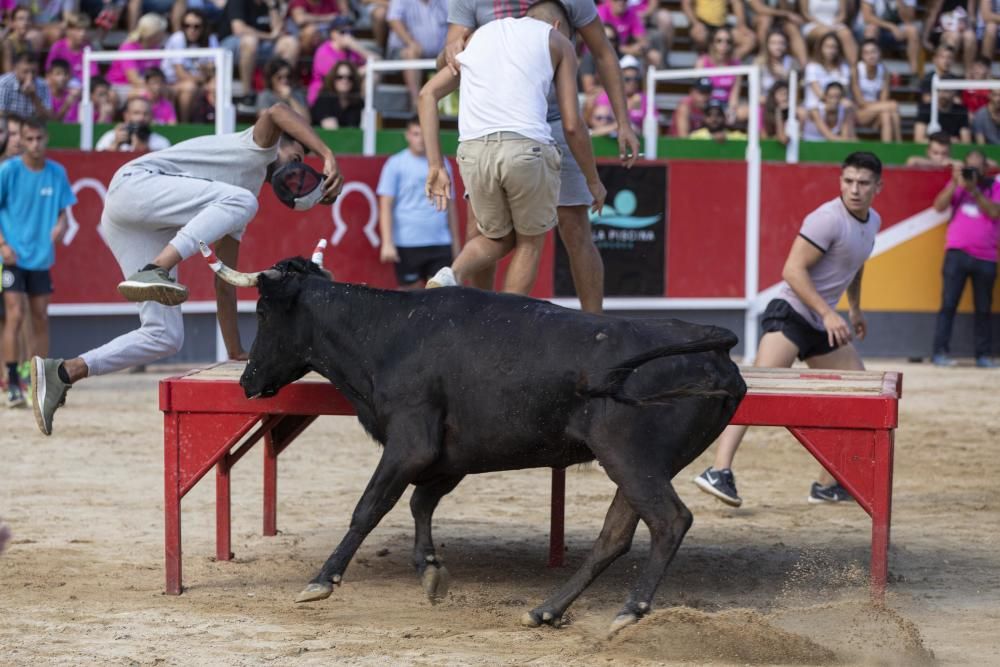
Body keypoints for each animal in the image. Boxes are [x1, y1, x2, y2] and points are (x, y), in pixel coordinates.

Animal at [238, 258, 748, 636]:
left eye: (262, 312)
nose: (247, 381)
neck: (391, 333)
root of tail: (714, 350)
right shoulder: (451, 456)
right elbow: (421, 502)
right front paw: (430, 569)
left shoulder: (409, 443)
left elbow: (369, 508)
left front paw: (321, 580)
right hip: (642, 464)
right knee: (615, 536)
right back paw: (547, 610)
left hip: (628, 457)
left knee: (668, 521)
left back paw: (630, 609)